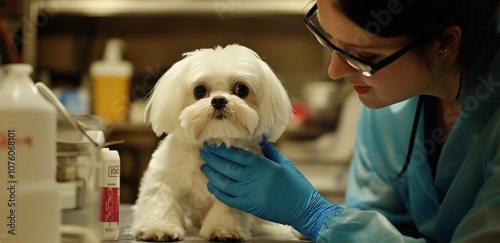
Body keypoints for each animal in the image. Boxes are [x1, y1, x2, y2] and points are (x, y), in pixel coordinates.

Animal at [132, 44, 292, 241]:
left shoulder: (235, 186)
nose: (219, 100)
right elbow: (162, 199)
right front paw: (159, 227)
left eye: (242, 90)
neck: (213, 141)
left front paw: (224, 230)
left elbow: (227, 209)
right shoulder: (165, 175)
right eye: (199, 90)